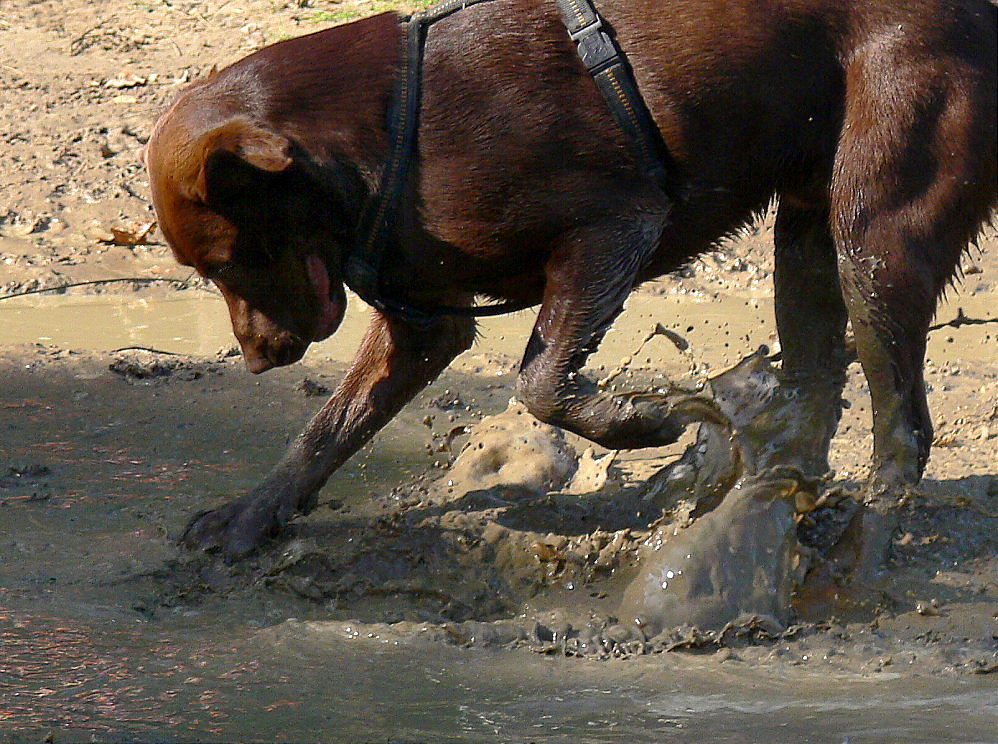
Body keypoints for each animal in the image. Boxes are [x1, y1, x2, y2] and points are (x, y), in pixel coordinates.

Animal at [145, 0, 996, 560]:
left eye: (225, 263)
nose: (257, 361)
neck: (383, 130)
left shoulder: (613, 226)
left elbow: (540, 380)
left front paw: (645, 420)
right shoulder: (425, 323)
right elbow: (328, 426)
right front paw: (251, 514)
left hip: (877, 230)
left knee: (902, 420)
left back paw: (866, 530)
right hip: (810, 229)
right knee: (816, 386)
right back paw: (768, 503)